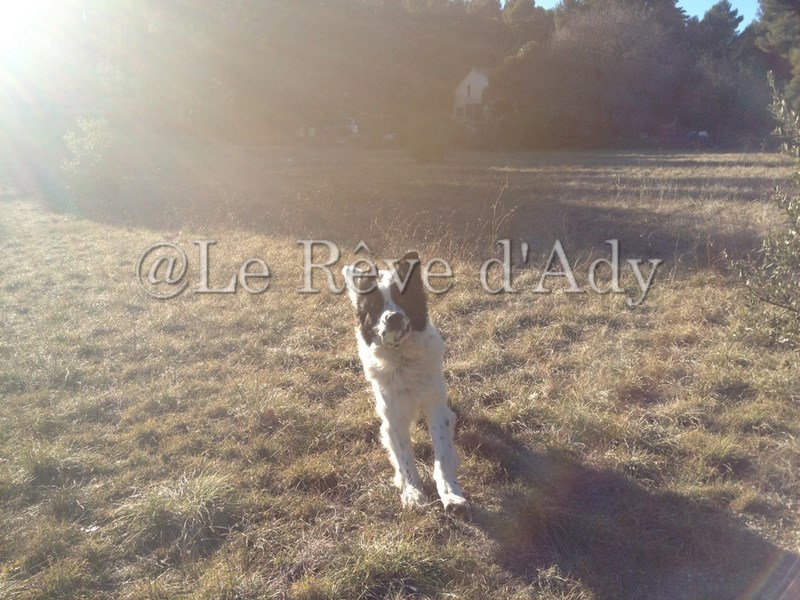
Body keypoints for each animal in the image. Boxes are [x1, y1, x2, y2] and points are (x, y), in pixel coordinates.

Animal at [343, 252, 468, 513]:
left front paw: (451, 494)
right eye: (375, 306)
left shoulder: (434, 405)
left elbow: (442, 453)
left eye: (403, 297)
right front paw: (412, 492)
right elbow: (404, 456)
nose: (393, 317)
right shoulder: (393, 416)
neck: (403, 359)